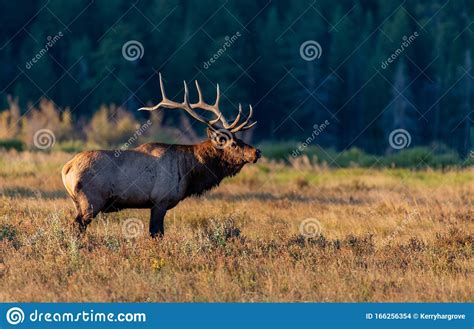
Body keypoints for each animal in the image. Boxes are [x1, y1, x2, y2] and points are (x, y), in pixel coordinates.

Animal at [61, 73, 262, 236]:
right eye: (234, 144)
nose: (257, 152)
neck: (189, 170)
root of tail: (66, 168)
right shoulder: (160, 200)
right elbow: (157, 233)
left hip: (78, 202)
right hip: (91, 201)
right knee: (75, 227)